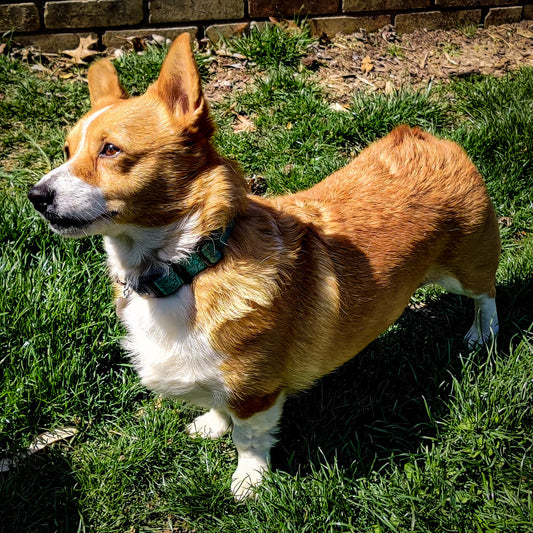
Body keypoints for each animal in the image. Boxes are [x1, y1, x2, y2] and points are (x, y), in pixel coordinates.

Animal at [27, 32, 500, 498]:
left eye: (110, 150)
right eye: (67, 150)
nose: (36, 196)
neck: (190, 266)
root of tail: (425, 137)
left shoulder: (256, 391)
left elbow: (249, 437)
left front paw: (249, 482)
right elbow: (219, 407)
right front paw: (211, 425)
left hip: (466, 266)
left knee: (487, 293)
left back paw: (483, 334)